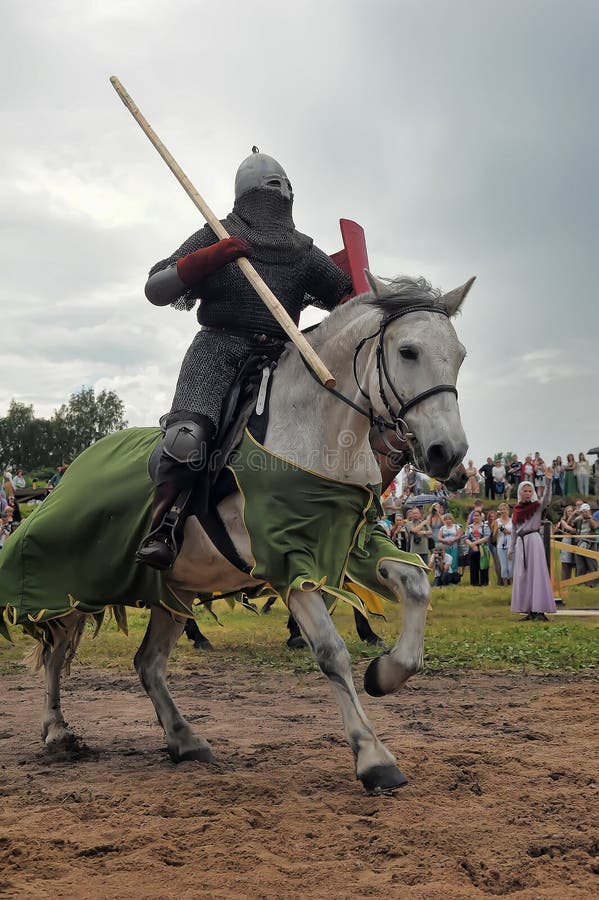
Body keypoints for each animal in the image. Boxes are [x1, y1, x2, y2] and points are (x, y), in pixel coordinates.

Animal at [30, 274, 474, 796]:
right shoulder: (287, 561)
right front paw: (372, 756)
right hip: (73, 582)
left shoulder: (349, 544)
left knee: (147, 663)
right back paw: (57, 730)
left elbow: (416, 583)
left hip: (174, 590)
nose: (449, 454)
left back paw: (184, 739)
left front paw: (385, 673)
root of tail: (69, 471)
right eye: (408, 351)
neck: (316, 430)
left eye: (459, 354)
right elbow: (331, 652)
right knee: (57, 649)